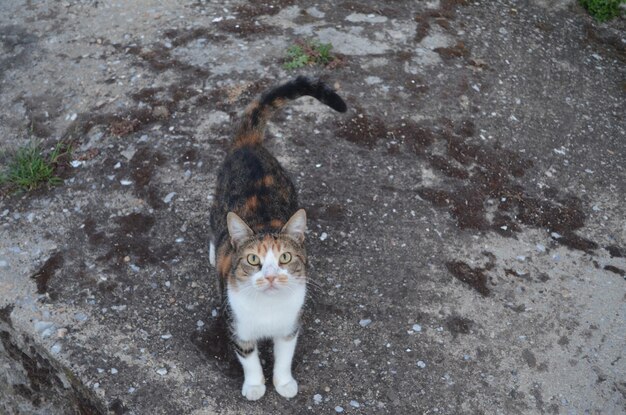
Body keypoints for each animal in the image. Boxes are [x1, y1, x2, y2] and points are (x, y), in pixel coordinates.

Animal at [208, 76, 346, 402]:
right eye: (253, 259)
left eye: (284, 257)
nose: (271, 275)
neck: (268, 310)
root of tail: (248, 145)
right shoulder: (238, 325)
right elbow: (249, 357)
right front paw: (255, 385)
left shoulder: (289, 325)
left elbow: (285, 355)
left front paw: (283, 383)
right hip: (217, 203)